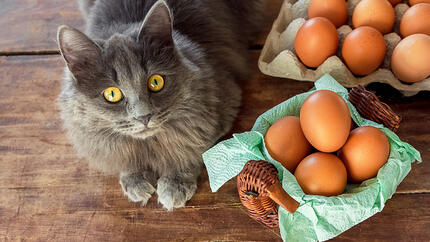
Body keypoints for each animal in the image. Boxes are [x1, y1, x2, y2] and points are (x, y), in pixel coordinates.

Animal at [57, 0, 264, 210]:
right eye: (112, 94)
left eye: (156, 82)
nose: (143, 117)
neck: (149, 144)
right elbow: (124, 157)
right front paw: (135, 180)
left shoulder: (223, 105)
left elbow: (192, 149)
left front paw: (175, 184)